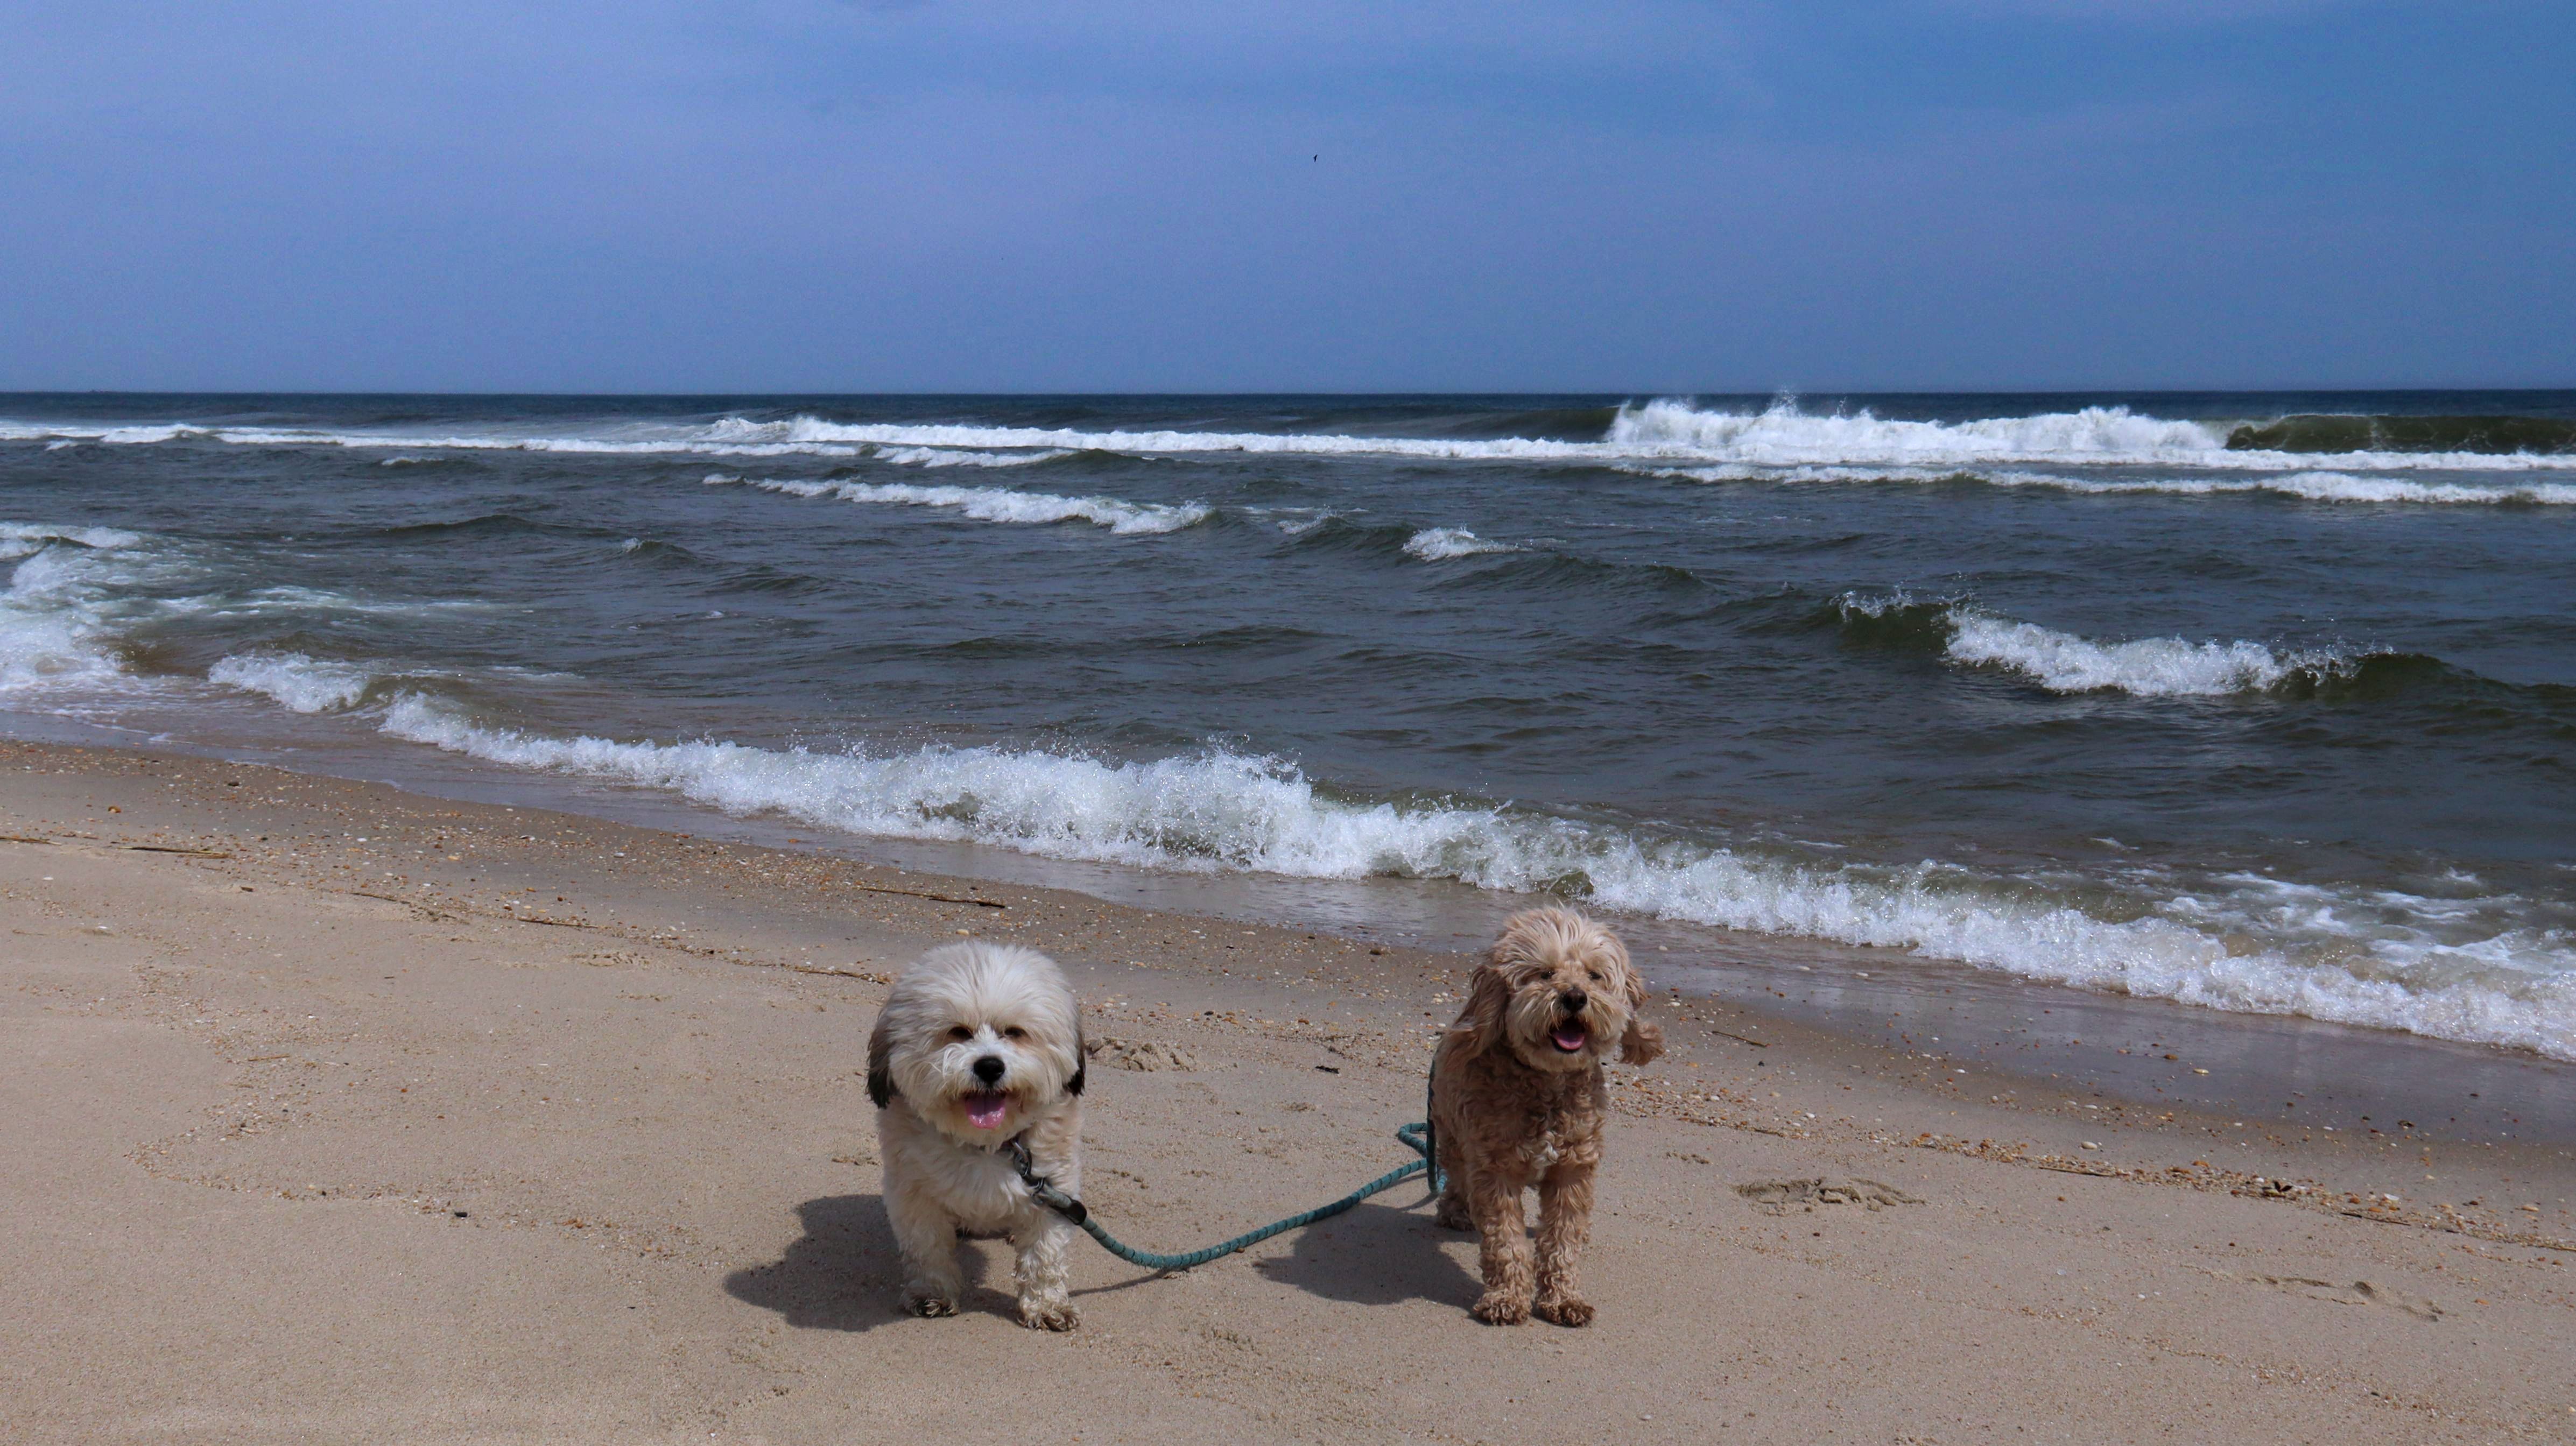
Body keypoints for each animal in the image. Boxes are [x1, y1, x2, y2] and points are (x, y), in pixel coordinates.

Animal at [866, 941, 1086, 1330]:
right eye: (958, 1032)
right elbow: (927, 1249)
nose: (990, 1066)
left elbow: (1044, 1257)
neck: (987, 1144)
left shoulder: (1053, 1191)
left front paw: (1046, 1305)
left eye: (1014, 1032)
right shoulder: (913, 1195)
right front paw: (932, 1294)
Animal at [1429, 907, 1661, 1326]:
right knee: (1455, 1176)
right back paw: (1456, 1210)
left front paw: (1565, 1297)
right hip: (1451, 1134)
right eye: (1545, 973)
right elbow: (1504, 1242)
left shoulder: (1573, 1170)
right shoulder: (1495, 1172)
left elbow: (1562, 1240)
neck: (1548, 1082)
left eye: (1594, 975)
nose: (1574, 996)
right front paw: (1505, 1297)